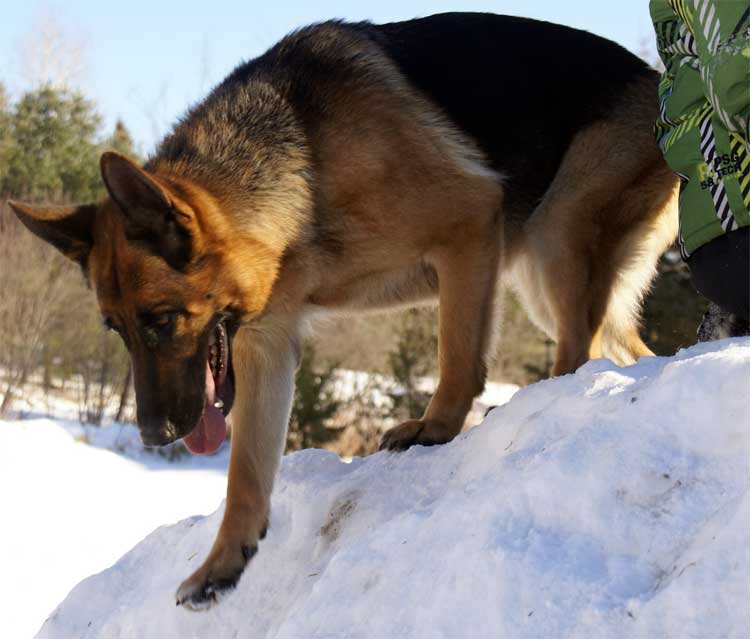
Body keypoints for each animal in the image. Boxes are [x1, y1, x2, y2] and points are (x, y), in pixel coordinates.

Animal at [10, 11, 680, 608]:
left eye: (162, 321)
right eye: (117, 331)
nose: (154, 436)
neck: (305, 172)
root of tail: (657, 80)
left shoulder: (468, 226)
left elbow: (458, 355)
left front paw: (435, 428)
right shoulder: (264, 343)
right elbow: (246, 472)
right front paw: (225, 561)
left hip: (554, 240)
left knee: (575, 348)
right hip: (540, 278)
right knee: (624, 349)